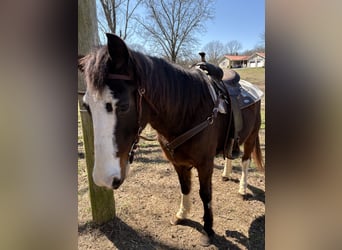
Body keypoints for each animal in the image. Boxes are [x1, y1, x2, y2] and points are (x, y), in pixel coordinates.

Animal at [78, 32, 254, 245]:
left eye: (124, 106)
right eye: (86, 106)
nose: (103, 179)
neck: (190, 111)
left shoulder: (205, 164)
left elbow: (205, 194)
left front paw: (208, 230)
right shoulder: (178, 162)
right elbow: (185, 186)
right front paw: (182, 214)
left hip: (252, 136)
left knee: (245, 161)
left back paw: (243, 189)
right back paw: (226, 174)